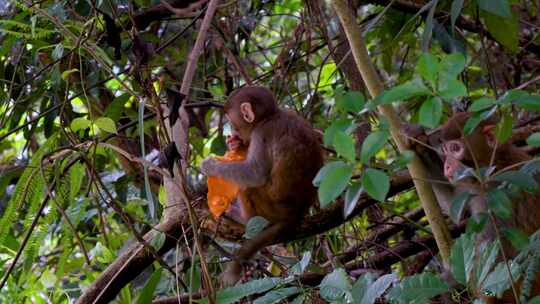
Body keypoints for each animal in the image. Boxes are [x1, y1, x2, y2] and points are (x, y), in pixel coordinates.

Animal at [199, 86, 322, 284]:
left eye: (232, 123)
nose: (233, 133)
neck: (270, 116)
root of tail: (296, 213)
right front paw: (236, 145)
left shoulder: (261, 133)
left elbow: (255, 173)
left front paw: (211, 166)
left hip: (271, 209)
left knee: (248, 187)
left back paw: (242, 218)